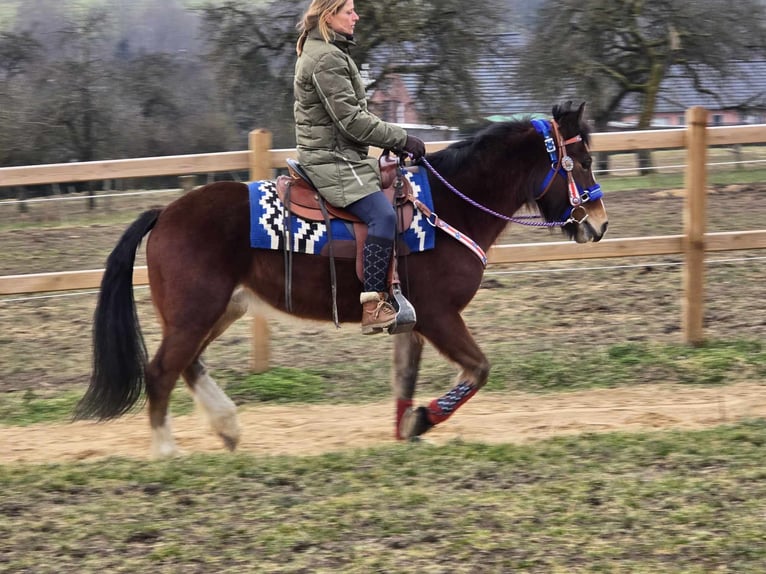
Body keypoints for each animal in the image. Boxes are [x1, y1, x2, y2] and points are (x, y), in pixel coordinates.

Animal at [75, 101, 608, 456]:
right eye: (582, 162)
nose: (599, 224)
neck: (448, 206)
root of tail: (165, 213)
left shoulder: (412, 321)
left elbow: (405, 377)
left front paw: (404, 428)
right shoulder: (439, 316)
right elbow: (478, 369)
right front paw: (422, 421)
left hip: (220, 309)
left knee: (187, 365)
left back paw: (227, 428)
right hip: (196, 312)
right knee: (162, 370)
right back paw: (167, 451)